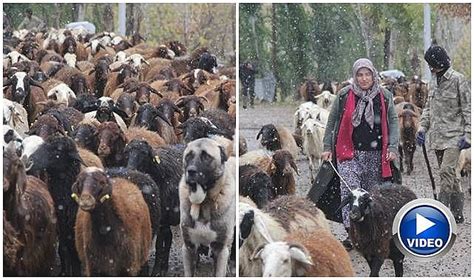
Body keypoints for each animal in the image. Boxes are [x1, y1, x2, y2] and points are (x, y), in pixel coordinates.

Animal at [25, 136, 82, 276]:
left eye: (58, 150)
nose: (29, 161)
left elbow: (76, 262)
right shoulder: (63, 235)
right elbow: (63, 251)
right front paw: (64, 273)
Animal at [179, 137, 236, 276]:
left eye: (206, 156)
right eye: (188, 156)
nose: (191, 171)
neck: (203, 204)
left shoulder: (220, 249)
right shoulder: (188, 247)